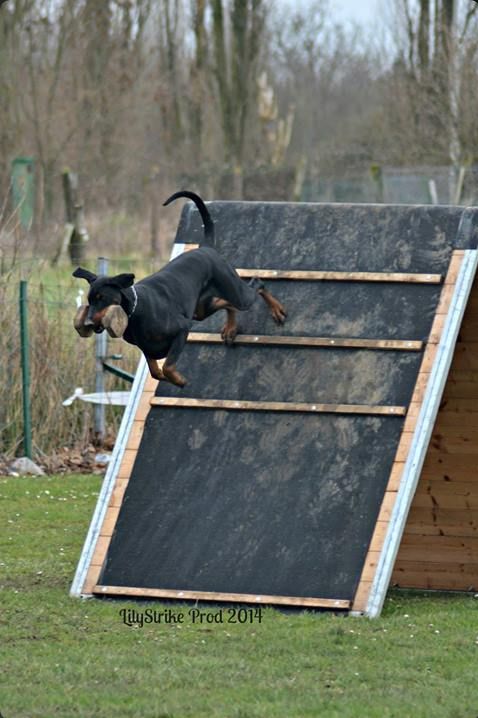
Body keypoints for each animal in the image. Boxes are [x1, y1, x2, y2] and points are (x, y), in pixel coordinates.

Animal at [73, 188, 286, 386]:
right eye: (89, 300)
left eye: (102, 299)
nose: (88, 323)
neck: (135, 310)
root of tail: (206, 248)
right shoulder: (146, 346)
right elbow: (154, 369)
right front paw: (166, 376)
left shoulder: (182, 329)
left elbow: (167, 366)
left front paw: (179, 380)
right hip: (201, 309)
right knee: (226, 304)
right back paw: (231, 328)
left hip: (235, 292)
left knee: (257, 284)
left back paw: (277, 310)